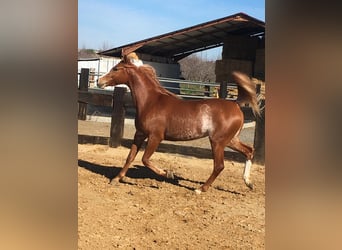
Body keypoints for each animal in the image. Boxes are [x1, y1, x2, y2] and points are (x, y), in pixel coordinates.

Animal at [98, 56, 260, 193]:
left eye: (116, 69)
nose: (99, 81)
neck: (151, 101)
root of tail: (236, 104)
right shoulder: (140, 133)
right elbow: (130, 157)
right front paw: (115, 179)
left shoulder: (155, 136)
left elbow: (145, 159)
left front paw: (167, 173)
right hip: (231, 140)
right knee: (249, 151)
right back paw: (249, 183)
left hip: (217, 142)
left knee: (219, 166)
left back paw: (200, 189)